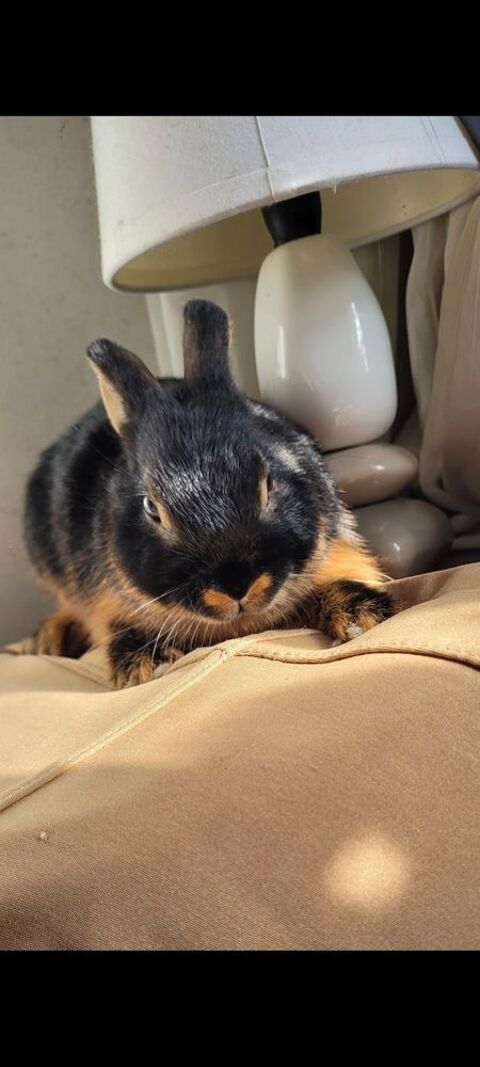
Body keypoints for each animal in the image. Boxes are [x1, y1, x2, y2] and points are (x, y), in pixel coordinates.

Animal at [24, 298, 394, 688]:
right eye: (151, 508)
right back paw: (47, 639)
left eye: (268, 480)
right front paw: (150, 664)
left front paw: (361, 617)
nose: (237, 584)